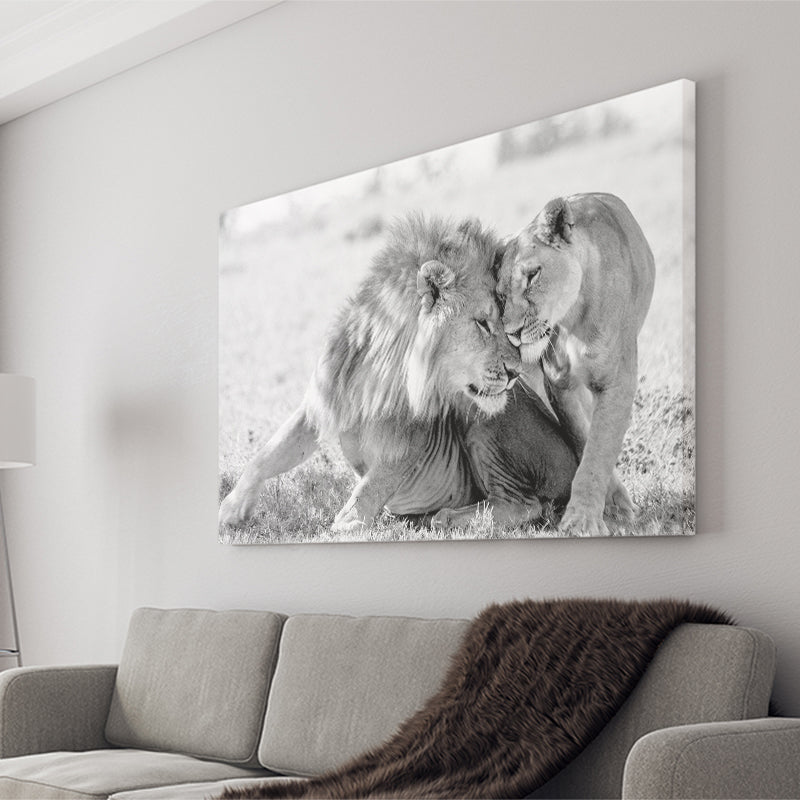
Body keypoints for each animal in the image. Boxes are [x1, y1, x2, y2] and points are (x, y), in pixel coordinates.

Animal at [219, 214, 576, 535]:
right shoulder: (321, 401)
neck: (379, 371)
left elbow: (373, 483)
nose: (516, 372)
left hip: (484, 421)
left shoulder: (412, 438)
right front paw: (232, 509)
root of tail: (575, 457)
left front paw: (349, 522)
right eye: (483, 323)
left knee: (527, 504)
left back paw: (447, 517)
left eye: (505, 323)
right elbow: (269, 454)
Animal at [497, 193, 655, 537]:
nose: (512, 332)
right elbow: (584, 440)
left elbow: (599, 449)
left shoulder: (617, 381)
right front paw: (611, 505)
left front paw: (582, 520)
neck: (573, 317)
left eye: (532, 276)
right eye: (500, 296)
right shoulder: (559, 384)